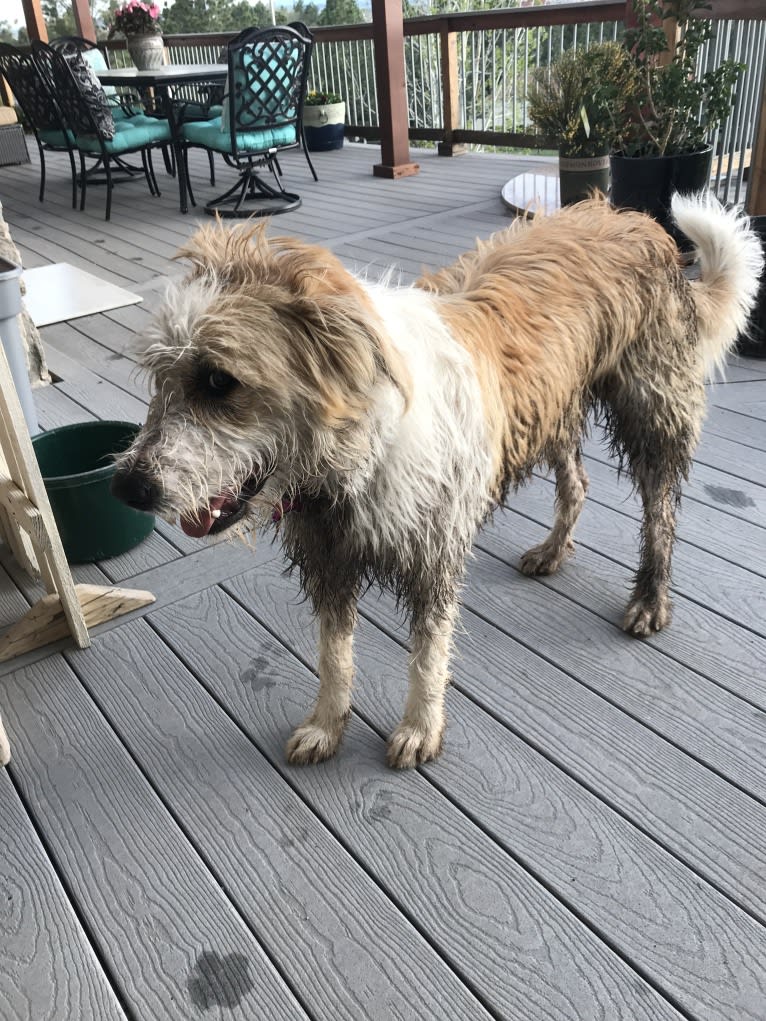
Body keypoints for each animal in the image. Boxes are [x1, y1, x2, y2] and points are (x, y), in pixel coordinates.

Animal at [112, 192, 763, 767]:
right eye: (159, 378)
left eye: (219, 381)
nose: (129, 490)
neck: (361, 450)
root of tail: (637, 222)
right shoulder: (330, 556)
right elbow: (333, 654)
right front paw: (326, 725)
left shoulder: (434, 553)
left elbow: (428, 653)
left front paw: (420, 730)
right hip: (553, 405)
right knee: (577, 482)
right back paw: (553, 551)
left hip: (650, 410)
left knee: (661, 514)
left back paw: (650, 598)